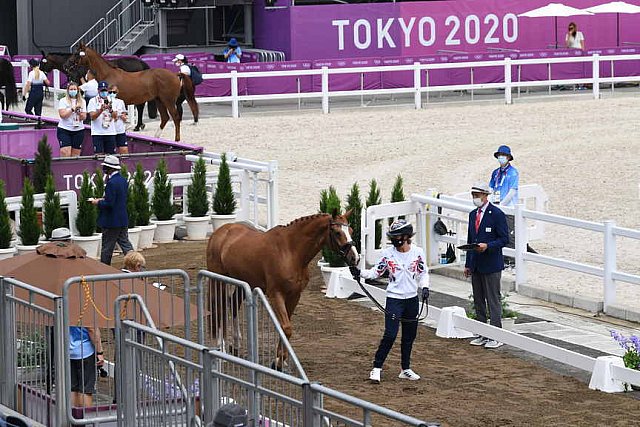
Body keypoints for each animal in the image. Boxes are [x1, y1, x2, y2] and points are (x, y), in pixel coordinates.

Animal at [67, 43, 198, 141]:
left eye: (76, 53)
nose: (67, 65)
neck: (108, 74)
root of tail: (176, 74)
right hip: (159, 100)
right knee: (165, 118)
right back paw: (156, 137)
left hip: (168, 101)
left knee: (175, 117)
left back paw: (176, 139)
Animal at [209, 212, 362, 366]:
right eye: (337, 232)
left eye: (351, 231)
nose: (355, 258)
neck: (290, 251)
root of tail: (221, 231)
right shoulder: (276, 294)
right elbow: (286, 328)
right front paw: (279, 361)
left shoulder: (295, 295)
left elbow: (285, 326)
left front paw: (279, 360)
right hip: (218, 280)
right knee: (220, 309)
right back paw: (221, 348)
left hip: (244, 282)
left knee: (233, 305)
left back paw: (235, 345)